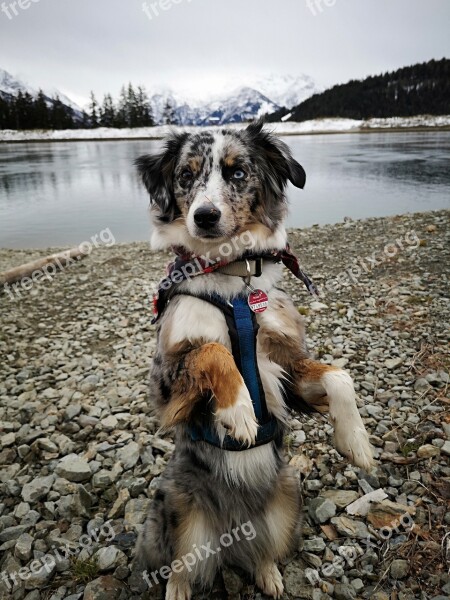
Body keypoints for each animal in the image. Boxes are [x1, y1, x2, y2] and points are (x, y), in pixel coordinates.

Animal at [133, 119, 372, 596]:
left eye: (237, 172)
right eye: (185, 176)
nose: (204, 216)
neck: (232, 284)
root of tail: (231, 531)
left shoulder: (286, 366)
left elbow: (340, 375)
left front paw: (355, 441)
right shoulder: (165, 382)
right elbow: (212, 351)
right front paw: (240, 410)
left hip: (287, 499)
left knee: (261, 548)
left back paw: (268, 573)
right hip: (173, 510)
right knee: (180, 564)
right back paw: (179, 588)